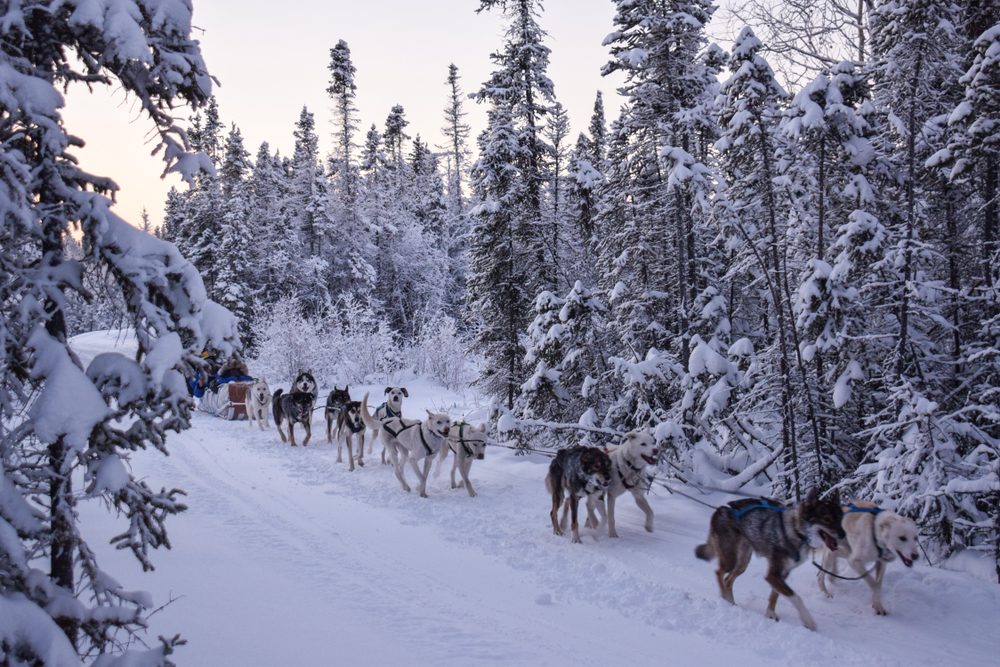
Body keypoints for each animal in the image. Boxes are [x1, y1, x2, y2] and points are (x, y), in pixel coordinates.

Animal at [696, 488, 844, 636]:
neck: (796, 531)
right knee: (719, 572)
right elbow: (795, 597)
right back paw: (724, 600)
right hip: (730, 559)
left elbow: (775, 595)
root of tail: (721, 508)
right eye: (827, 519)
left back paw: (730, 602)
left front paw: (770, 613)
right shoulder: (772, 575)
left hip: (742, 563)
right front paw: (808, 621)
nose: (843, 534)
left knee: (728, 580)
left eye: (840, 518)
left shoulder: (782, 574)